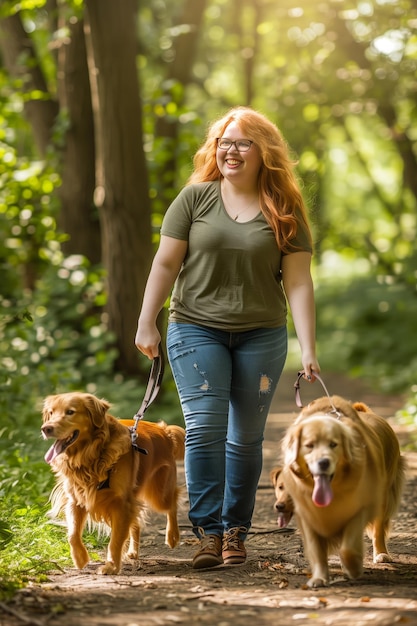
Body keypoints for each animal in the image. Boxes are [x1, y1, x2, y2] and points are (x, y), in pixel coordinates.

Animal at [41, 392, 184, 572]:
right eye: (51, 413)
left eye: (70, 412)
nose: (45, 428)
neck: (91, 455)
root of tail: (164, 430)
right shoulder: (76, 500)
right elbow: (73, 535)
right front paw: (80, 559)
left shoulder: (121, 503)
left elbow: (115, 540)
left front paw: (111, 566)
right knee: (137, 522)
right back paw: (133, 552)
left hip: (159, 494)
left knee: (173, 501)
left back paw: (172, 536)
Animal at [282, 394, 404, 584]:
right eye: (309, 445)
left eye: (334, 445)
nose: (323, 463)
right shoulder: (307, 512)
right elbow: (316, 548)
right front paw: (319, 577)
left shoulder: (360, 507)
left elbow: (349, 546)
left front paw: (352, 568)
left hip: (384, 493)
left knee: (378, 528)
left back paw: (381, 554)